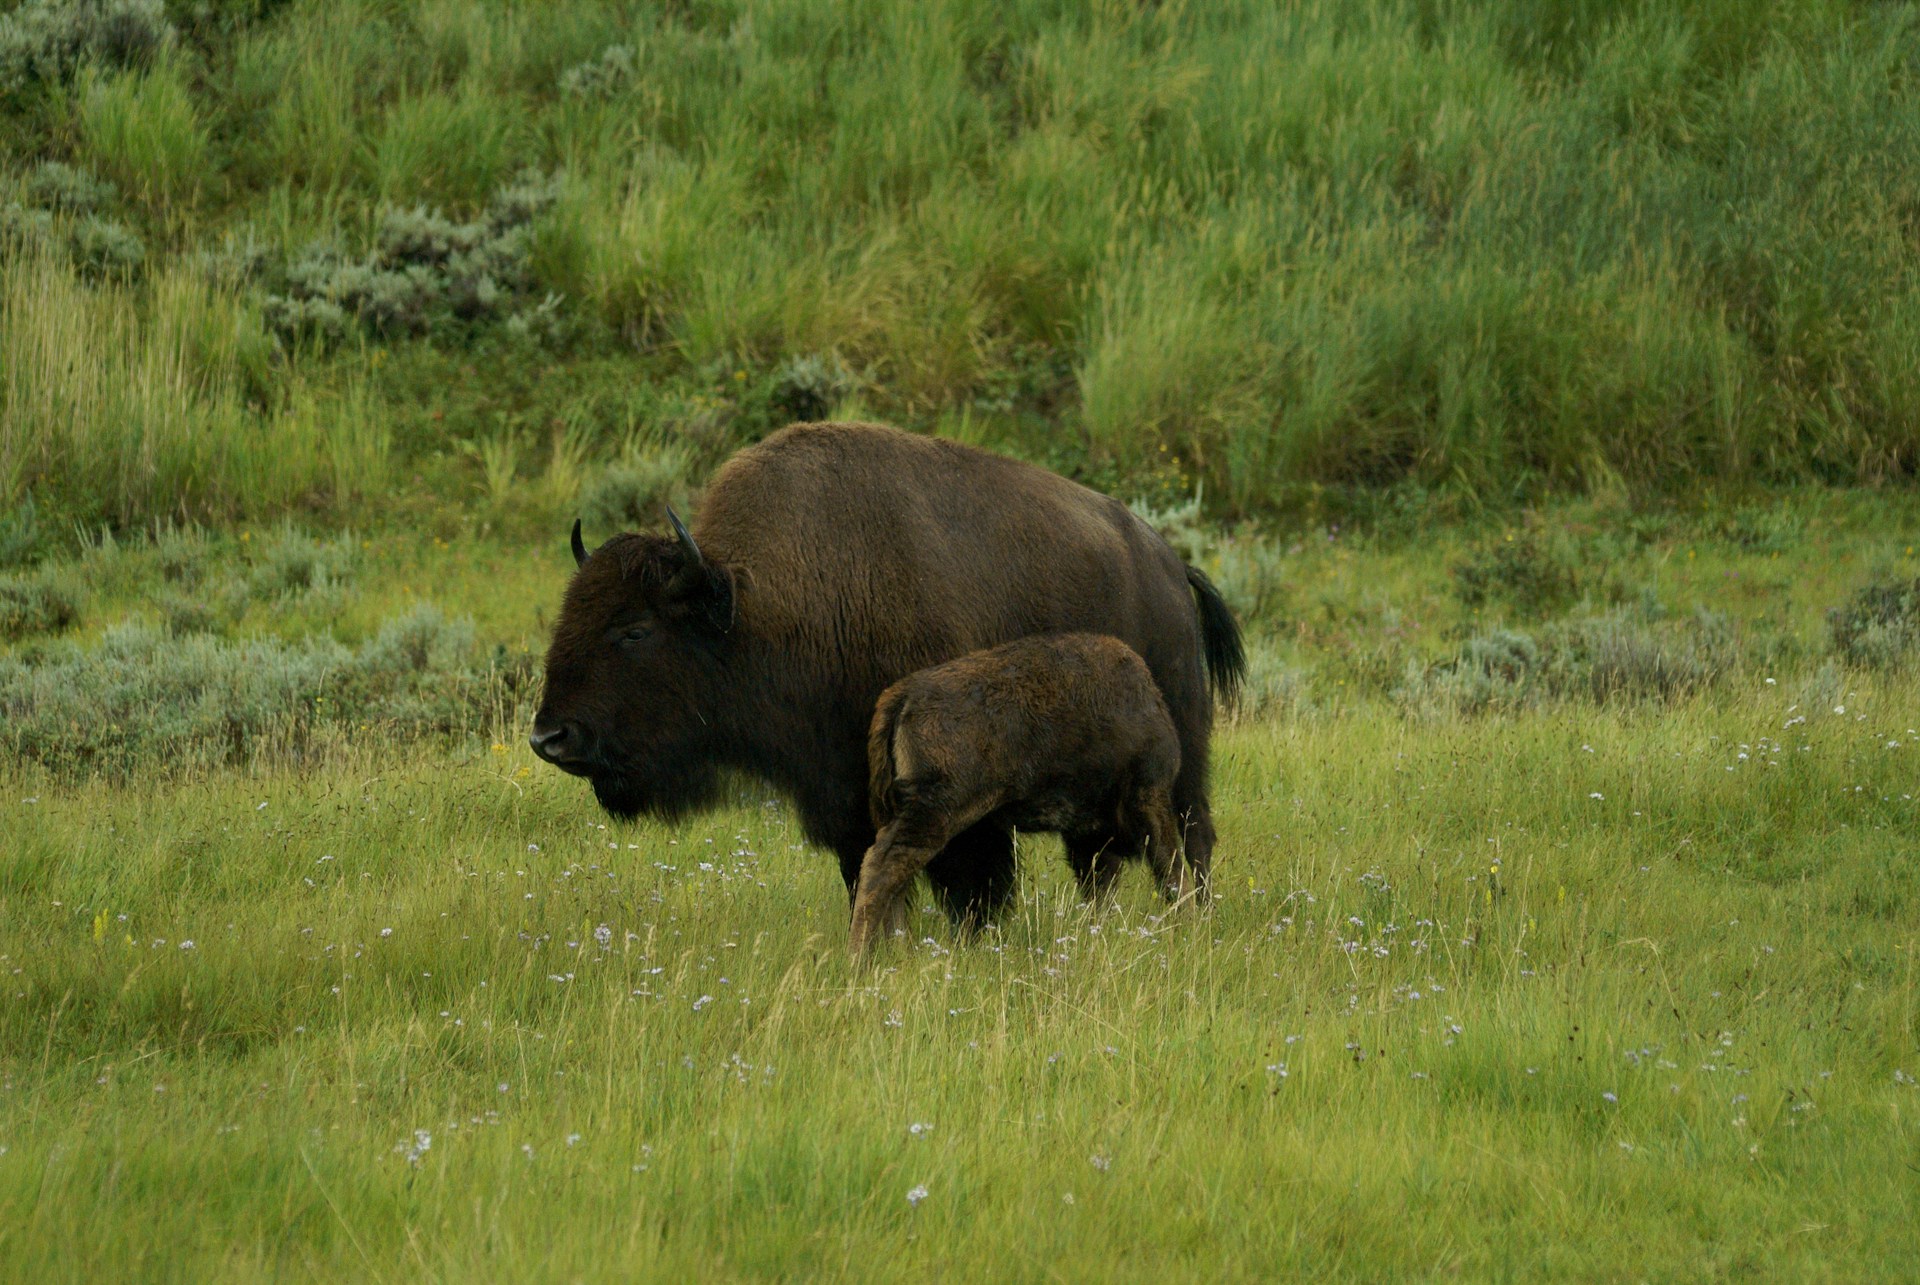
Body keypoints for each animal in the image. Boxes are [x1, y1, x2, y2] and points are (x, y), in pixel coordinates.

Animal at [851, 632, 1191, 956]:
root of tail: (903, 694)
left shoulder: (1089, 837)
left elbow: (1103, 889)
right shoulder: (1148, 799)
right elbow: (1172, 870)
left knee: (896, 879)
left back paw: (895, 950)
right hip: (935, 812)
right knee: (883, 866)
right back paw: (860, 958)